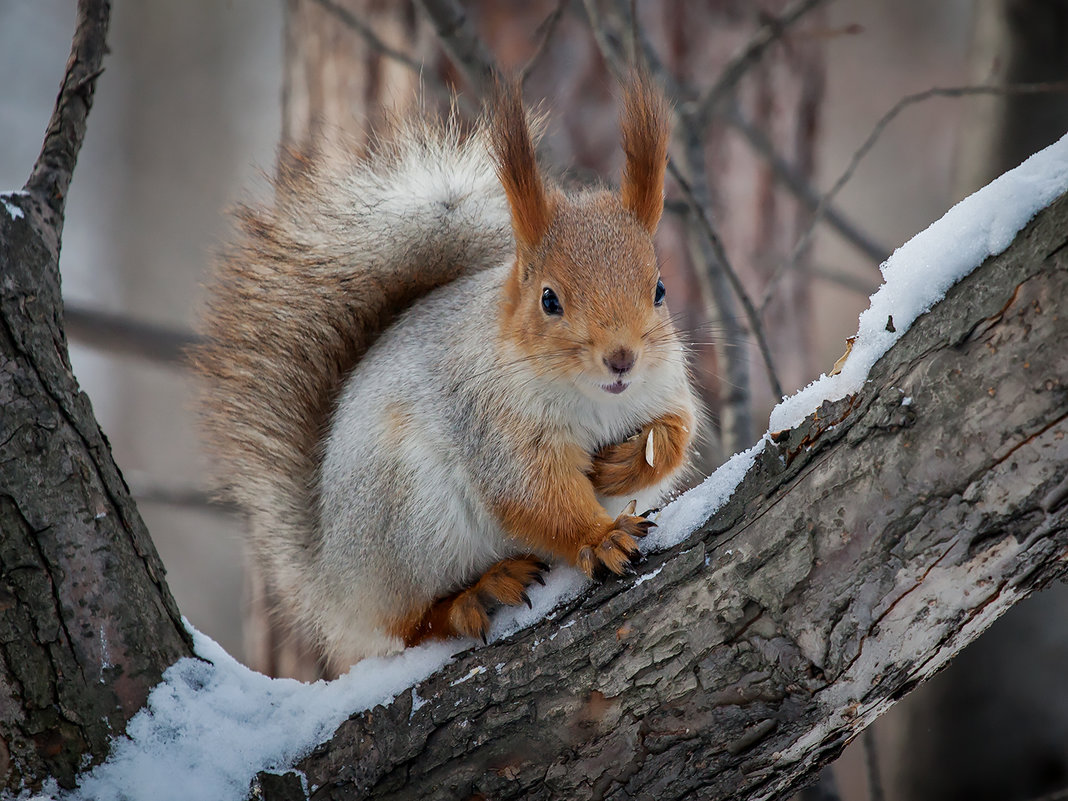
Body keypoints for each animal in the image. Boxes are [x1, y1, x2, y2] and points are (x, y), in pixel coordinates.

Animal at [194, 76, 700, 679]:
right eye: (549, 299)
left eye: (660, 290)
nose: (621, 358)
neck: (596, 400)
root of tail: (333, 584)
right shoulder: (491, 424)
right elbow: (534, 497)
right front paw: (599, 537)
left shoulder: (665, 383)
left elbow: (677, 432)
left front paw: (628, 463)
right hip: (409, 518)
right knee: (408, 626)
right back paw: (473, 596)